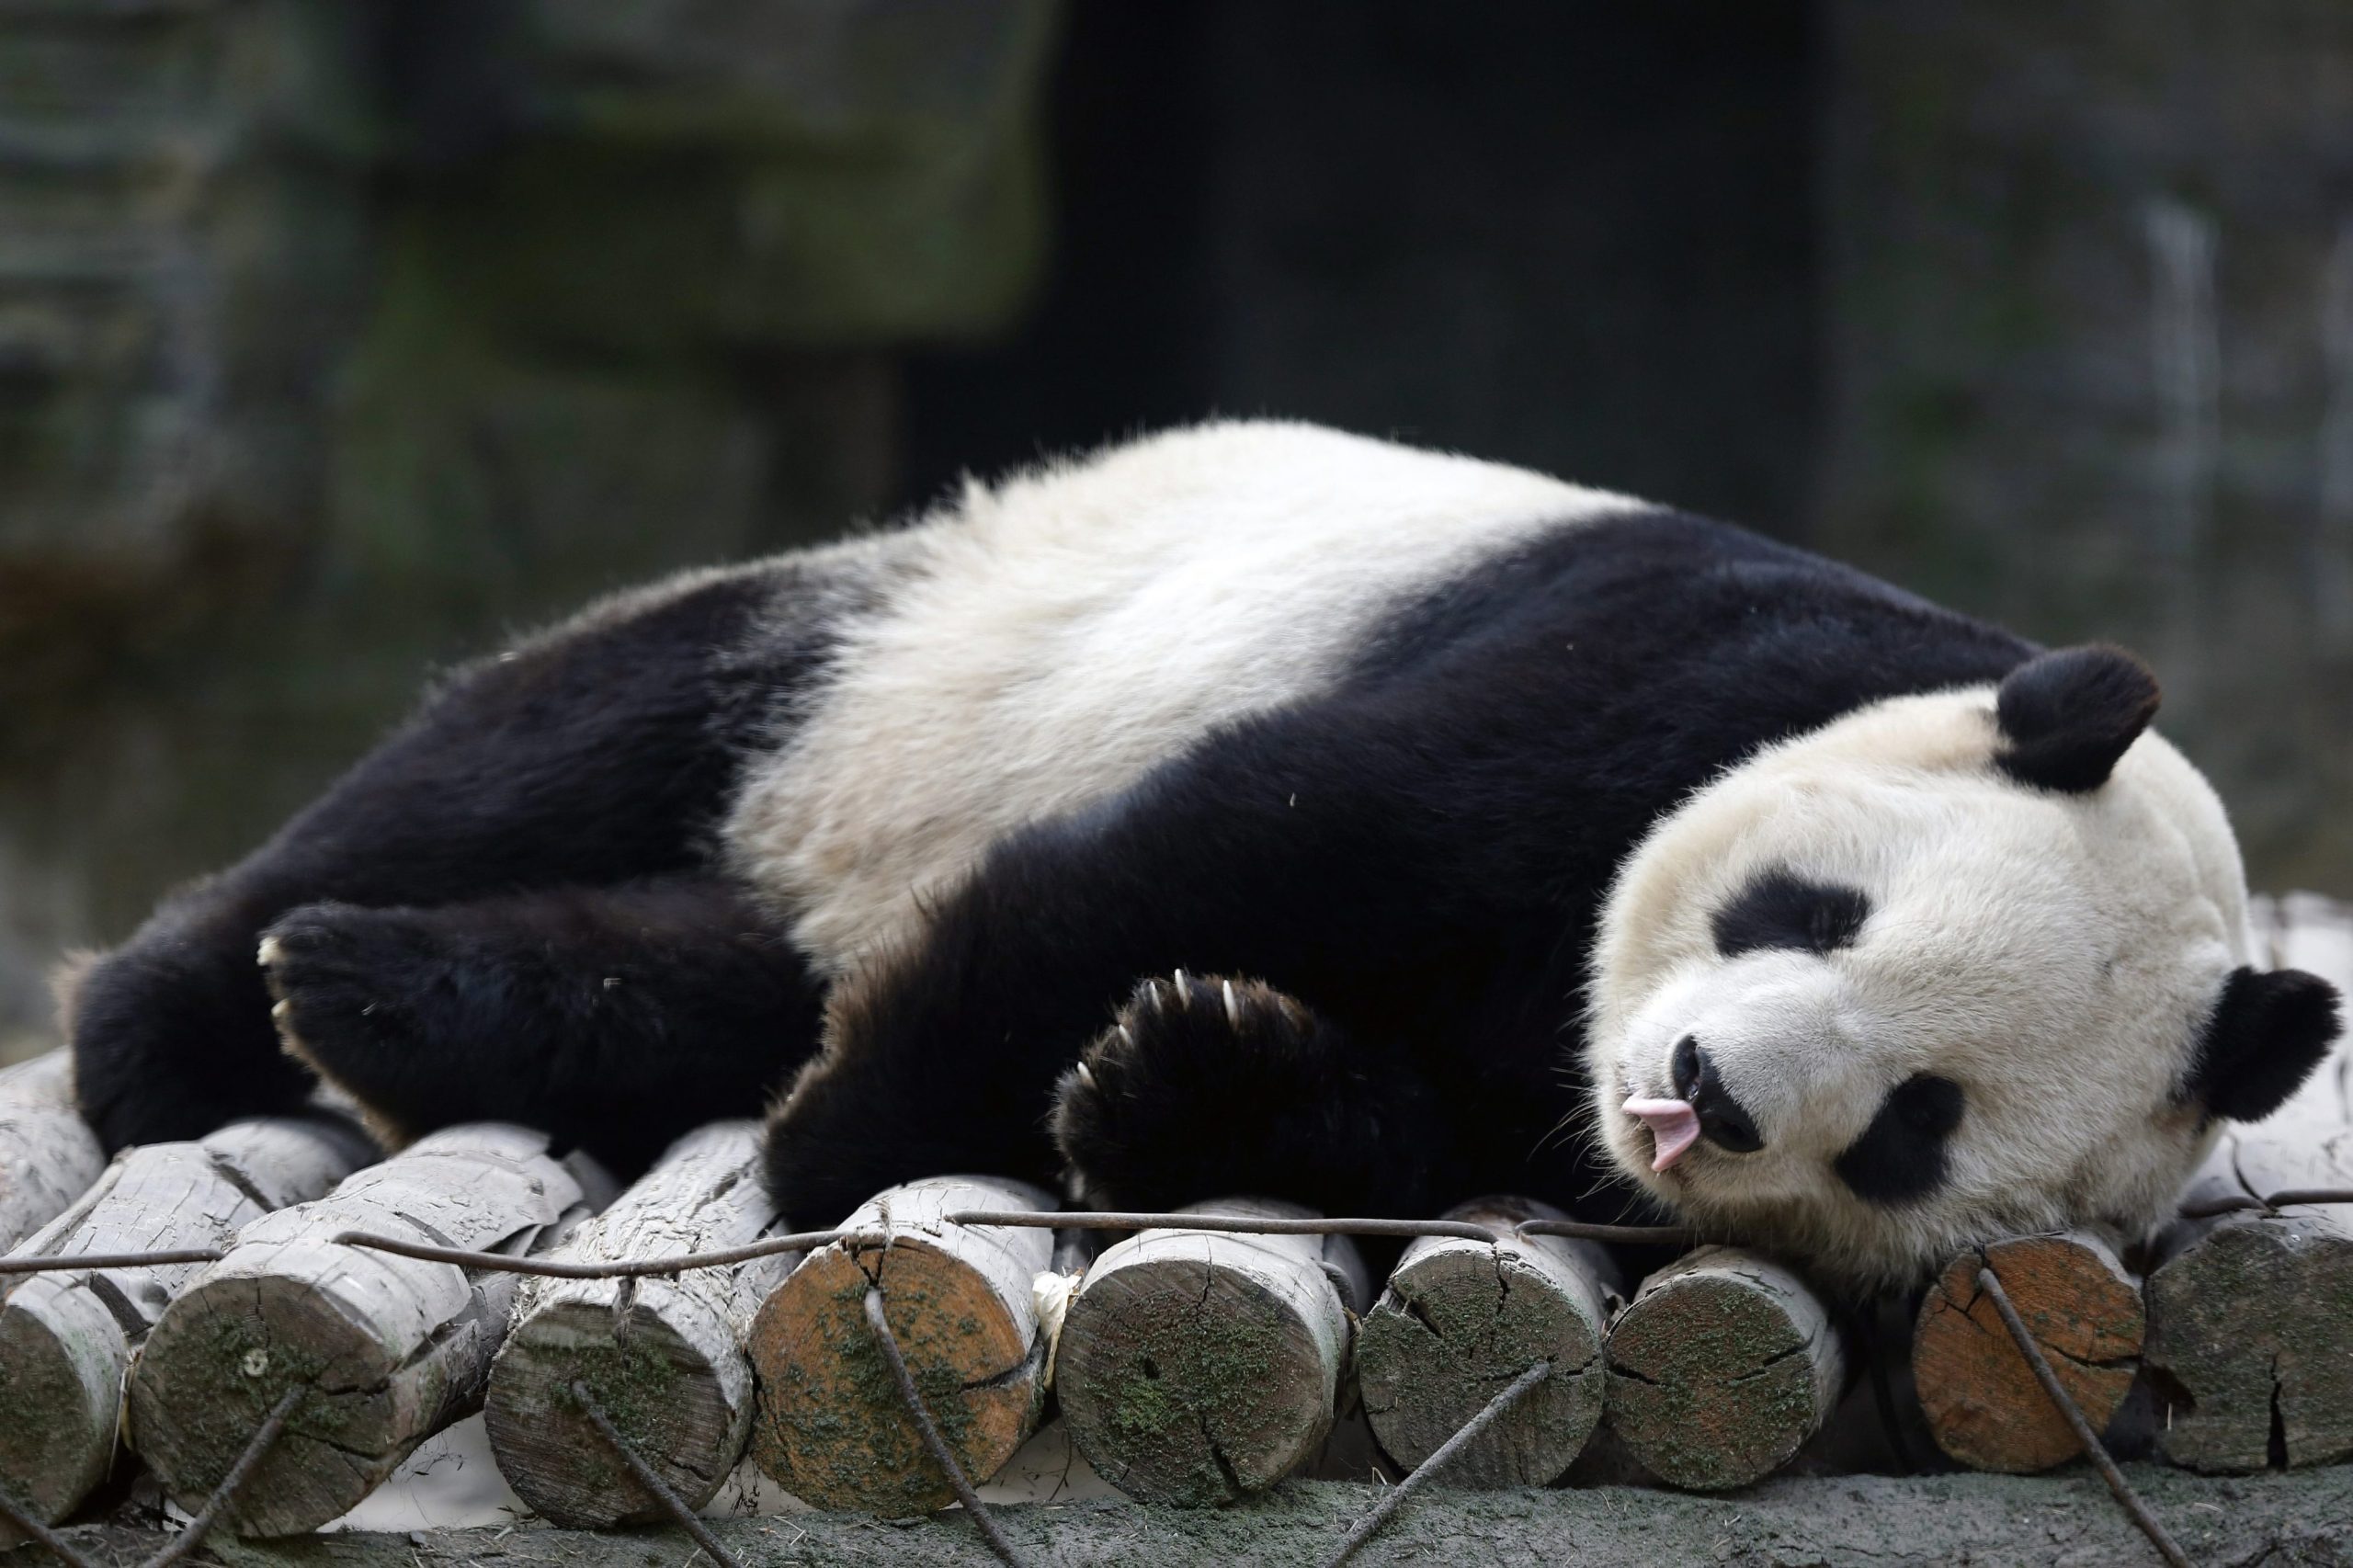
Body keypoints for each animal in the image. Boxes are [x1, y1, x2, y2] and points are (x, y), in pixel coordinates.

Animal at [61, 420, 2342, 1290]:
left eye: (1907, 1124)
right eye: (1813, 912)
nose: (1696, 1095)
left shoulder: (1543, 1109)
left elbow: (1408, 1122)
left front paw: (1175, 1073)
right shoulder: (1655, 673)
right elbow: (1220, 848)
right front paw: (851, 1137)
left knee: (685, 962)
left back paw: (416, 1013)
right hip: (909, 638)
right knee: (562, 738)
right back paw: (222, 1003)